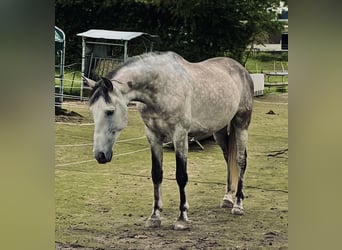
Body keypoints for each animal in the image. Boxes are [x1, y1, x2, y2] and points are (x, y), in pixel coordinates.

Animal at [84, 51, 252, 230]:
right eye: (93, 111)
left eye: (109, 111)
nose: (100, 155)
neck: (161, 87)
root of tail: (241, 69)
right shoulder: (153, 136)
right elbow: (156, 174)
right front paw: (155, 216)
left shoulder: (180, 135)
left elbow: (181, 176)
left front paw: (182, 218)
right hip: (219, 132)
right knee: (229, 159)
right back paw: (227, 198)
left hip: (241, 124)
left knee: (240, 160)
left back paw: (238, 205)